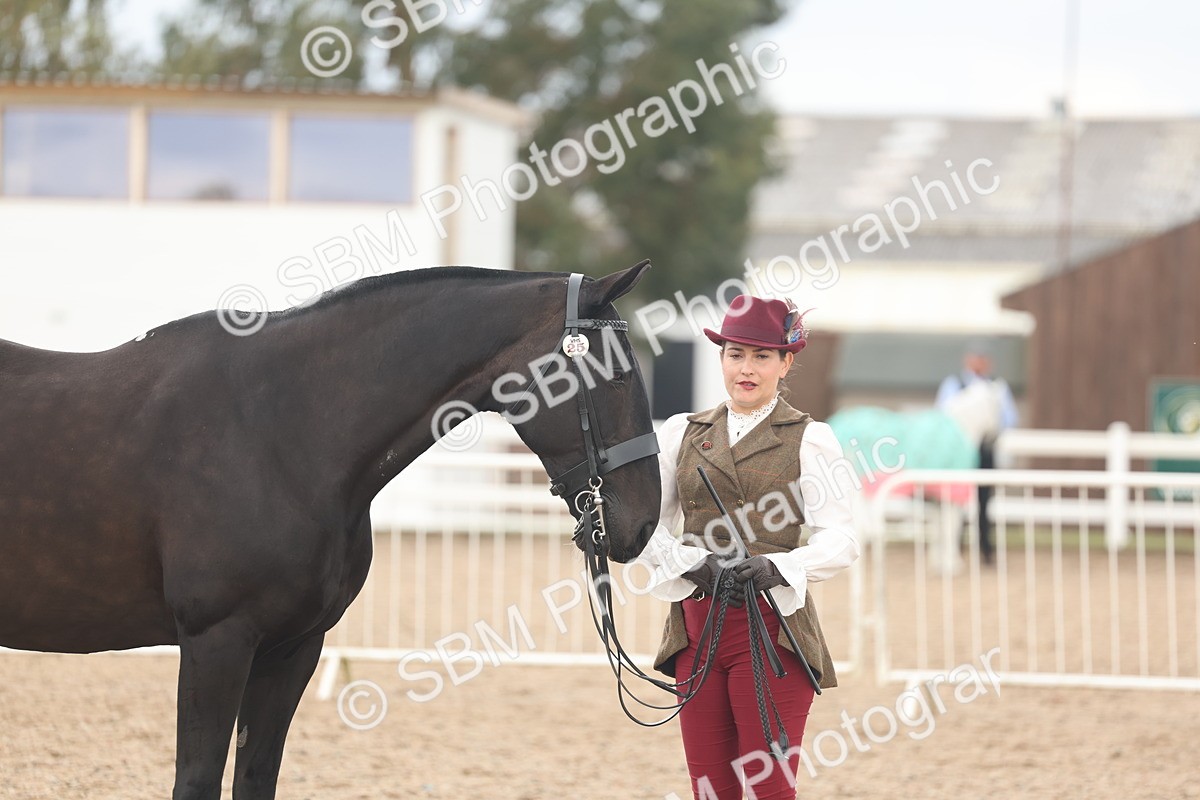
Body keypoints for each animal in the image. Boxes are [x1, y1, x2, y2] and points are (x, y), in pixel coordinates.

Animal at [0, 262, 662, 799]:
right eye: (616, 376)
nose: (642, 522)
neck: (281, 430)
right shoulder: (216, 641)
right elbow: (198, 778)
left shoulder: (293, 648)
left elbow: (254, 777)